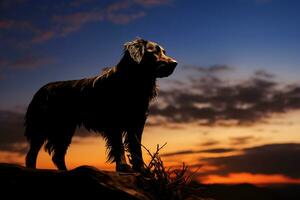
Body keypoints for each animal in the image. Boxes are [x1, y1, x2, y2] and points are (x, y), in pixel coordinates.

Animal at [24, 38, 177, 172]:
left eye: (164, 51)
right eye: (154, 52)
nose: (175, 63)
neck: (132, 82)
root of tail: (40, 91)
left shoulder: (136, 122)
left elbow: (136, 147)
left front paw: (141, 168)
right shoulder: (114, 122)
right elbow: (118, 146)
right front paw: (123, 166)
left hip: (65, 130)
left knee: (57, 155)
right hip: (42, 127)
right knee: (32, 153)